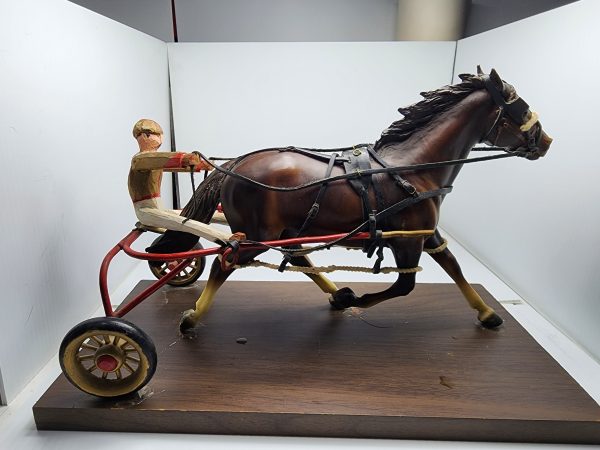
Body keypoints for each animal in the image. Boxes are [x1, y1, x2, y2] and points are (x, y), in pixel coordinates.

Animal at [156, 67, 552, 334]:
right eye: (520, 109)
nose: (546, 142)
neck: (414, 167)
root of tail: (234, 165)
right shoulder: (408, 241)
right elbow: (405, 285)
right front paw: (361, 301)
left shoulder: (424, 234)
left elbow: (453, 266)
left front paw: (487, 313)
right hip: (257, 237)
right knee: (223, 263)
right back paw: (192, 317)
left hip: (285, 231)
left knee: (298, 258)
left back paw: (337, 295)